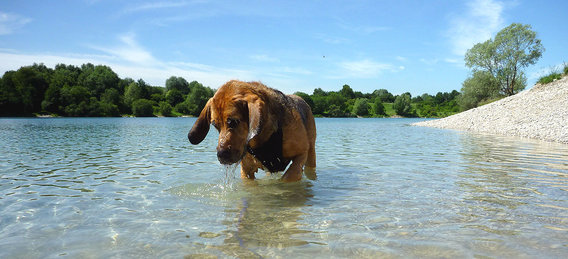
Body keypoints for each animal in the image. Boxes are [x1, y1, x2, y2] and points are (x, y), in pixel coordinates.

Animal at [189, 80, 318, 182]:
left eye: (233, 122)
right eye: (215, 125)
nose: (221, 155)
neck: (263, 139)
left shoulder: (301, 153)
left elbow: (289, 176)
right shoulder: (246, 170)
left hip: (311, 153)